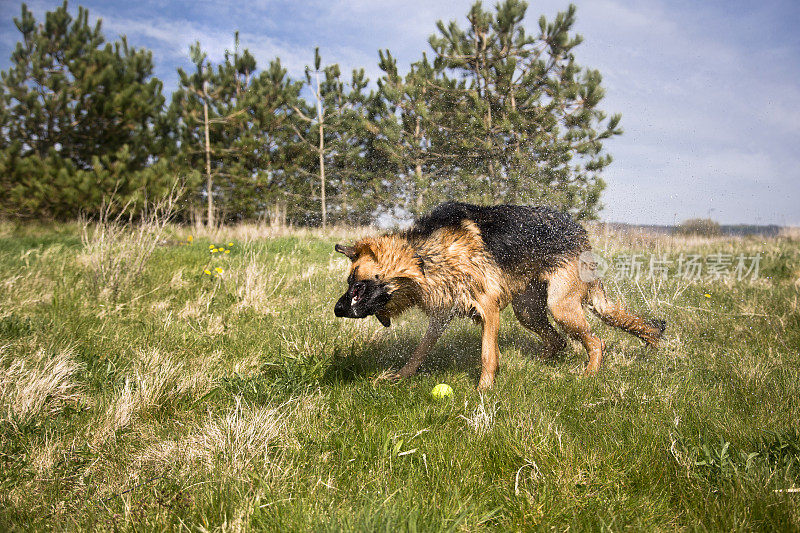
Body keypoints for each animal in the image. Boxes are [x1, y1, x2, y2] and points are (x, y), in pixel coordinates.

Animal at [332, 202, 664, 388]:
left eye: (356, 285)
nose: (335, 310)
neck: (423, 257)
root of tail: (579, 232)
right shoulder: (442, 315)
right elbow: (419, 352)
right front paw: (400, 377)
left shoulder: (488, 308)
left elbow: (487, 354)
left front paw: (484, 391)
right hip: (527, 311)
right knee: (557, 341)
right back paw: (536, 364)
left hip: (561, 306)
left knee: (595, 341)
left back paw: (589, 375)